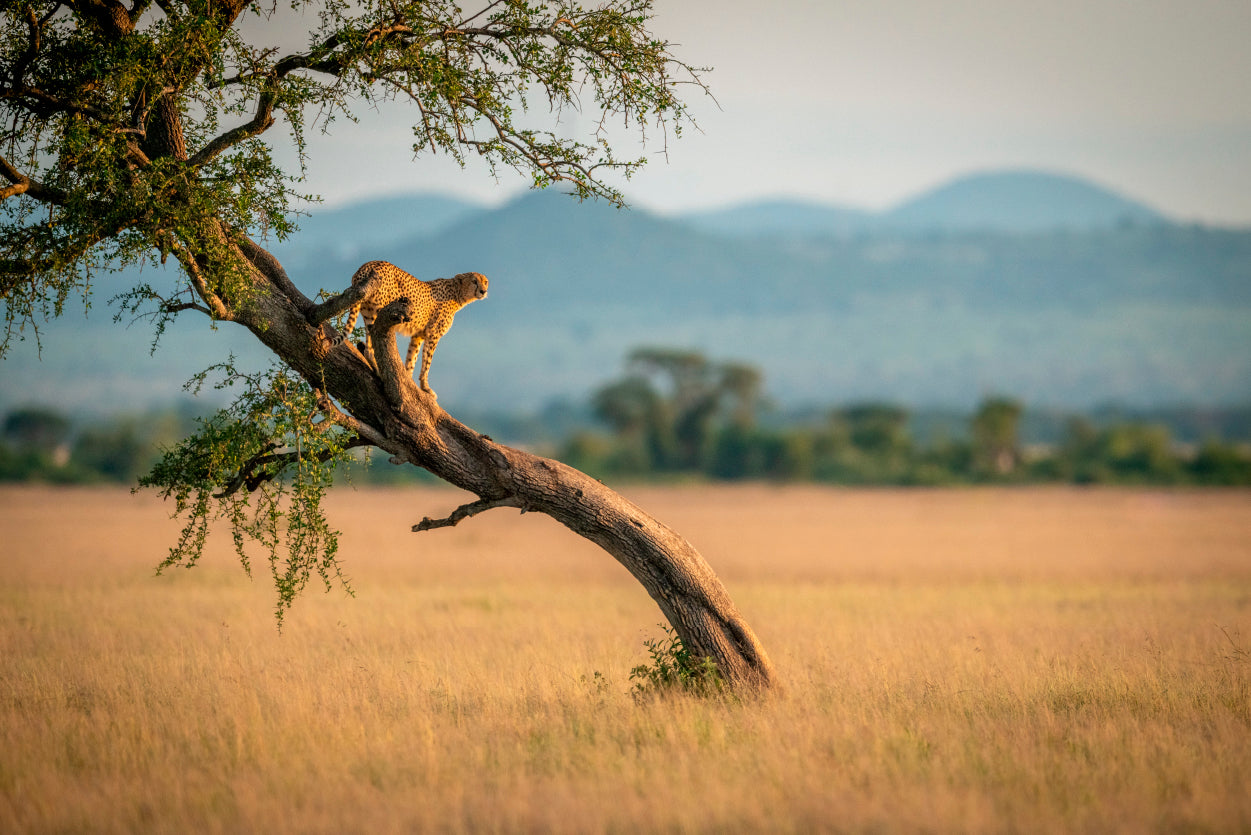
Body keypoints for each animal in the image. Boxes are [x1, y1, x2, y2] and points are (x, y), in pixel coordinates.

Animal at [337, 261, 487, 395]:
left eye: (485, 282)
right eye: (474, 281)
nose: (483, 291)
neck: (458, 293)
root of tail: (366, 265)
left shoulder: (418, 335)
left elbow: (412, 358)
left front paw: (409, 381)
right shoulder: (433, 335)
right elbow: (427, 362)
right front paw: (426, 388)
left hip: (368, 315)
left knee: (368, 349)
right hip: (381, 311)